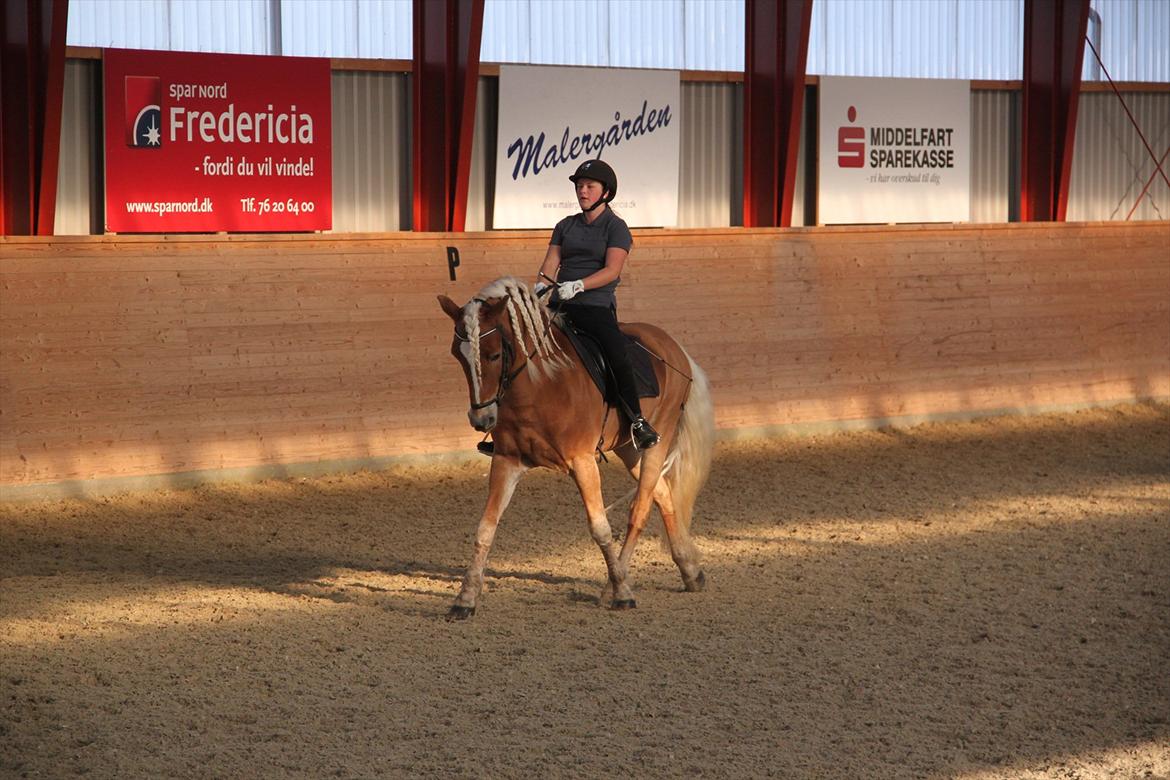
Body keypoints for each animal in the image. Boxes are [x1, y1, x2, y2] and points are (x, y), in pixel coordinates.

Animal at [437, 277, 711, 617]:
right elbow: (485, 529)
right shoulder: (506, 461)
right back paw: (689, 571)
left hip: (656, 440)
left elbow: (600, 527)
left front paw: (623, 594)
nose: (480, 418)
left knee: (640, 509)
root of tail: (674, 347)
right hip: (629, 448)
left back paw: (614, 586)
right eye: (457, 355)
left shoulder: (582, 461)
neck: (540, 385)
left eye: (493, 355)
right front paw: (465, 599)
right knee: (662, 495)